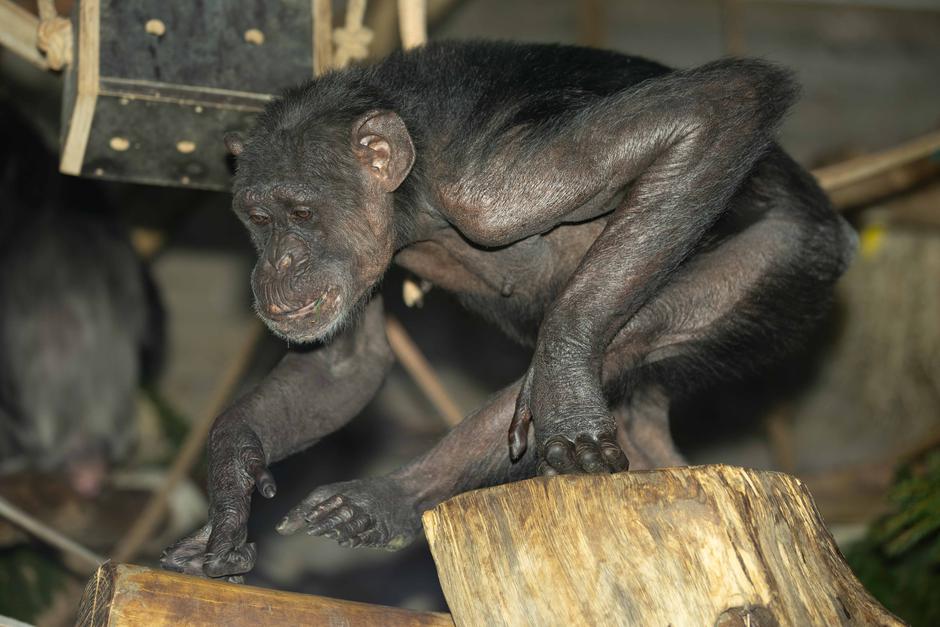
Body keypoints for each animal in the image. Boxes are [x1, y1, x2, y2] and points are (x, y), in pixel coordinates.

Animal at [163, 39, 860, 580]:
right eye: (258, 218)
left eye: (302, 214)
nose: (278, 262)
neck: (414, 198)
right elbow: (342, 367)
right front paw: (229, 486)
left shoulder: (493, 188)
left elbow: (716, 109)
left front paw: (566, 392)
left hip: (792, 257)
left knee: (629, 339)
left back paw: (390, 496)